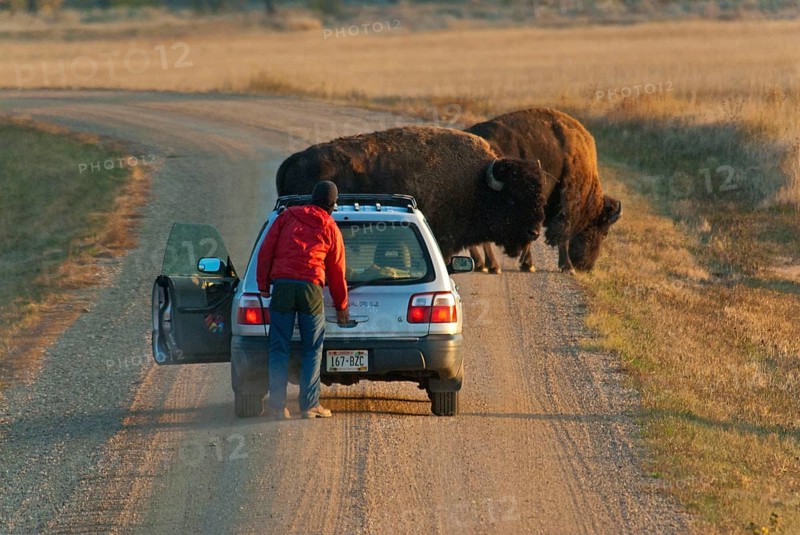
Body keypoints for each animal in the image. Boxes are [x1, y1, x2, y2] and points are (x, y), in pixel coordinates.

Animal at [276, 126, 553, 261]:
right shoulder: (443, 242)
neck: (476, 182)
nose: (534, 232)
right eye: (513, 198)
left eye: (540, 196)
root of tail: (294, 159)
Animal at [465, 108, 622, 274]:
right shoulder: (565, 207)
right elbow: (562, 235)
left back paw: (481, 264)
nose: (586, 267)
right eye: (604, 233)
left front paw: (527, 264)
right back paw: (492, 266)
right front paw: (565, 267)